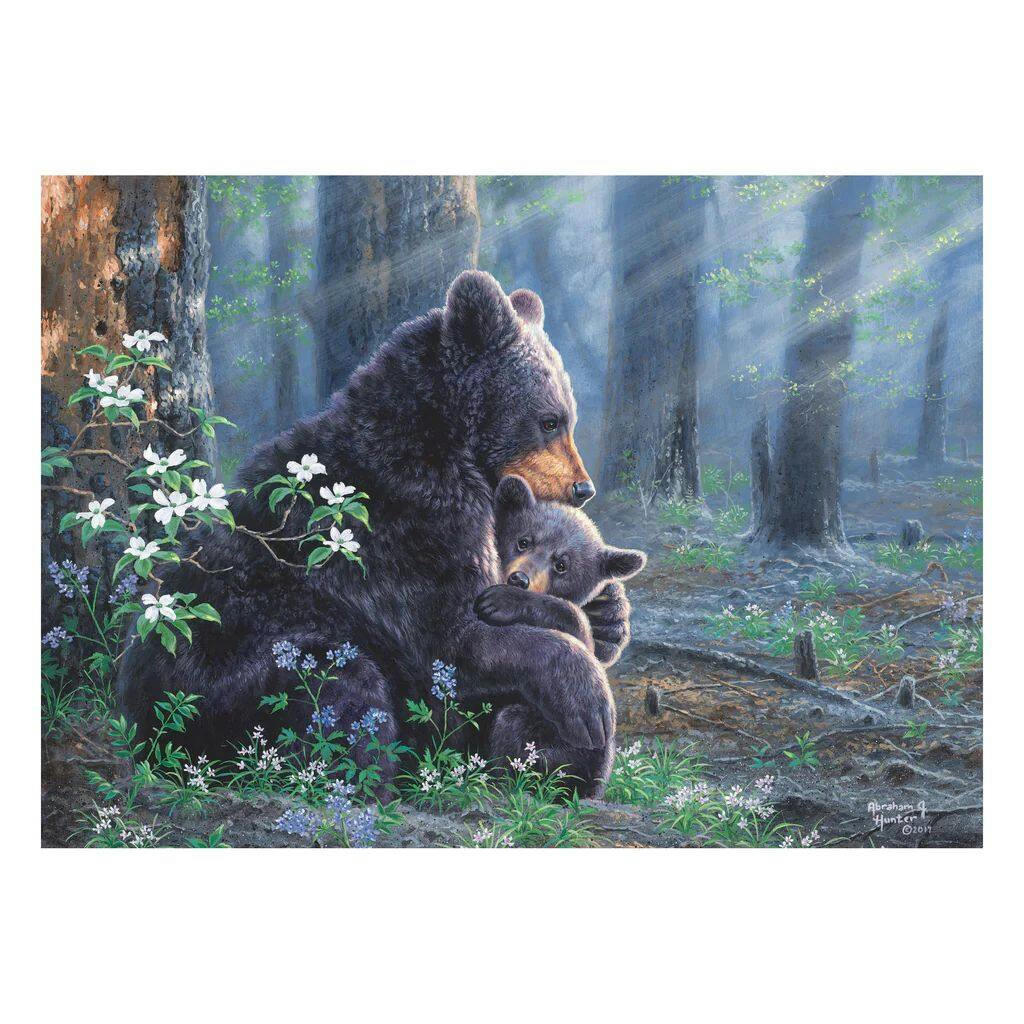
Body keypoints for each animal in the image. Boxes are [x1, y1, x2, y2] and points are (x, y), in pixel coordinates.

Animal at [117, 271, 633, 786]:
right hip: (239, 671)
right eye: (549, 421)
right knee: (343, 693)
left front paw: (609, 614)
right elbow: (451, 640)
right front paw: (587, 696)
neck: (439, 447)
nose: (582, 488)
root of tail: (144, 727)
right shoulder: (403, 533)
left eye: (568, 419)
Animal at [473, 474, 647, 796]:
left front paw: (501, 601)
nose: (519, 579)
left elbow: (575, 624)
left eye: (562, 565)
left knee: (513, 724)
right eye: (524, 541)